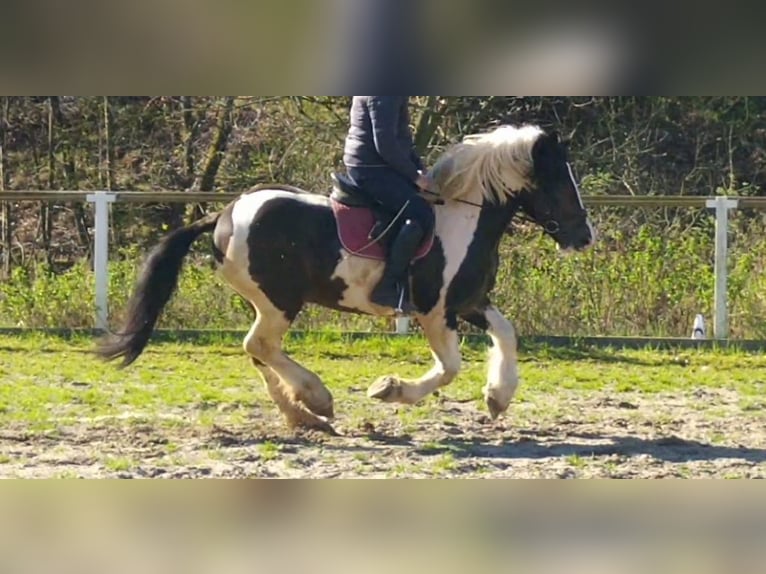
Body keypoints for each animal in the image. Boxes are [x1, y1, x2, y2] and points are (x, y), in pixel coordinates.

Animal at [98, 124, 595, 433]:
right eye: (559, 181)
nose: (584, 237)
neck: (463, 218)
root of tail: (223, 214)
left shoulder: (469, 302)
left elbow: (507, 333)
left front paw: (498, 396)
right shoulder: (436, 312)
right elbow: (449, 368)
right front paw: (390, 389)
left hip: (268, 303)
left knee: (259, 351)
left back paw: (306, 417)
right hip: (279, 301)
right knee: (259, 345)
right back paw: (317, 401)